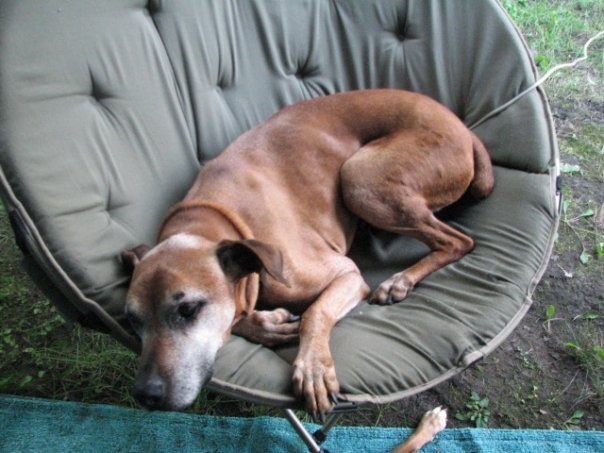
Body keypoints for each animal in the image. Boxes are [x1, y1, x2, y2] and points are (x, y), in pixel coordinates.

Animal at [122, 89, 496, 420]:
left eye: (188, 309)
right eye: (132, 320)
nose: (146, 394)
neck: (215, 216)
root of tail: (462, 127)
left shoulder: (345, 273)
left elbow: (315, 313)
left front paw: (313, 368)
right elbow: (245, 318)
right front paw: (267, 325)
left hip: (359, 177)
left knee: (457, 242)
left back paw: (400, 280)